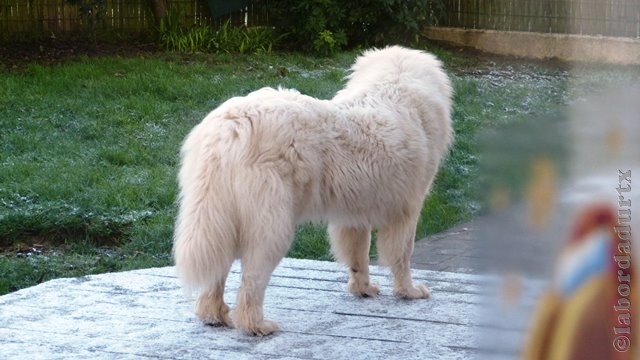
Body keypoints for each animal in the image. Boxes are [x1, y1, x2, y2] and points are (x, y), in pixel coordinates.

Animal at [175, 45, 452, 334]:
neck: (395, 85)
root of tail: (233, 126)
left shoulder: (354, 215)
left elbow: (358, 255)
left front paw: (363, 288)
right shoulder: (406, 209)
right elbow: (402, 254)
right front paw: (409, 291)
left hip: (218, 216)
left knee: (217, 270)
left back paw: (214, 315)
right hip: (270, 224)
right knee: (252, 279)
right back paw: (257, 325)